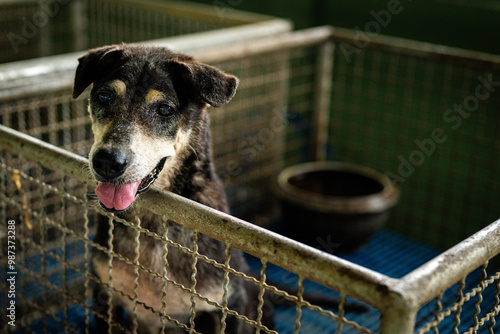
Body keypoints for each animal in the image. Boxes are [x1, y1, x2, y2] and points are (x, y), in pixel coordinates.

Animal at [72, 45, 272, 334]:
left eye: (165, 109)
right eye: (105, 96)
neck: (153, 226)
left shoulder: (231, 304)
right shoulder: (104, 295)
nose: (107, 162)